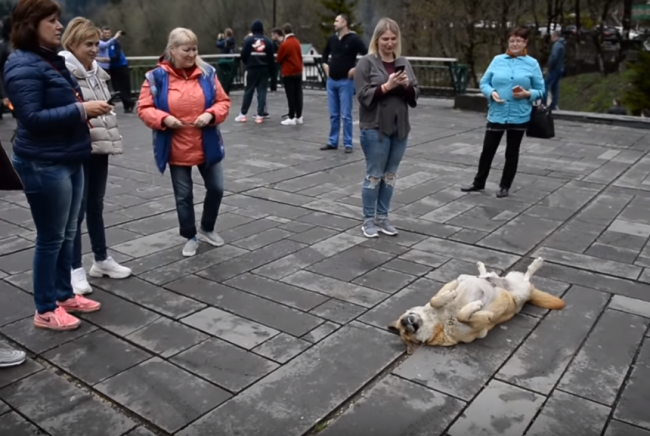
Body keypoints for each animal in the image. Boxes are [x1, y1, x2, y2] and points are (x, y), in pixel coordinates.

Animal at [390, 258, 560, 352]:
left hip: (511, 283)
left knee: (510, 276)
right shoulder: (479, 326)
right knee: (525, 278)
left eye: (403, 325)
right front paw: (476, 307)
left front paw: (450, 295)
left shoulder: (451, 284)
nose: (405, 321)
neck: (439, 321)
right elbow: (463, 315)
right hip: (520, 295)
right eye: (406, 332)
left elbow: (434, 299)